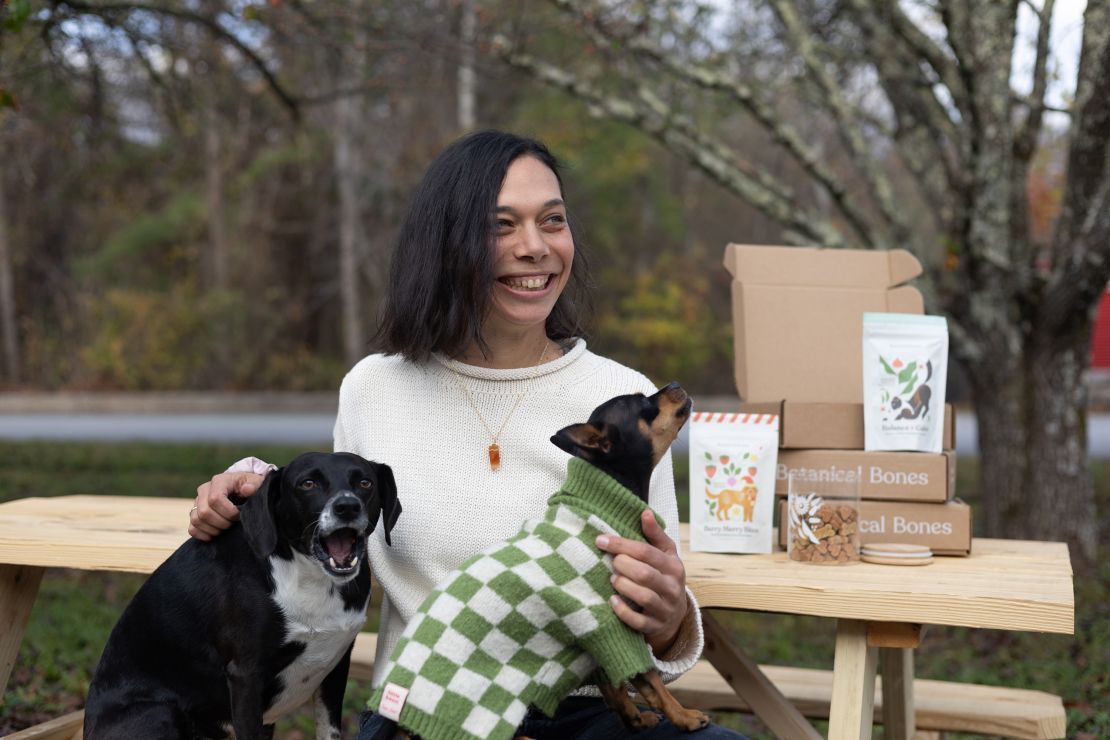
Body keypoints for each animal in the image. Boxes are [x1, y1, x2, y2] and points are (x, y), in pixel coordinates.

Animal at [85, 452, 404, 740]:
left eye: (364, 482)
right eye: (308, 483)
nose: (347, 506)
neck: (312, 579)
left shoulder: (335, 669)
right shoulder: (246, 676)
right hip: (160, 713)